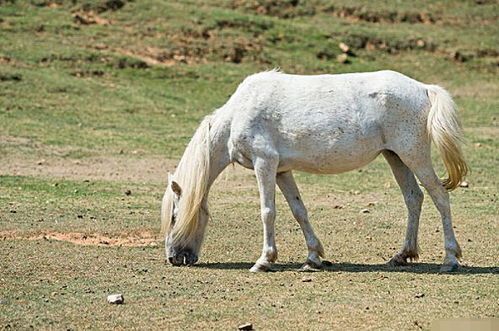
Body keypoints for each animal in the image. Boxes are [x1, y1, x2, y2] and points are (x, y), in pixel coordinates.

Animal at [163, 69, 468, 272]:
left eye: (174, 216)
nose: (173, 258)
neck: (239, 113)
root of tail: (424, 88)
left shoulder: (264, 164)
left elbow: (267, 212)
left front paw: (264, 260)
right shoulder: (281, 171)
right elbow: (299, 210)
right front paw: (313, 257)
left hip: (414, 156)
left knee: (440, 197)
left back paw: (450, 259)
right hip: (396, 158)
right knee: (414, 198)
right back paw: (401, 255)